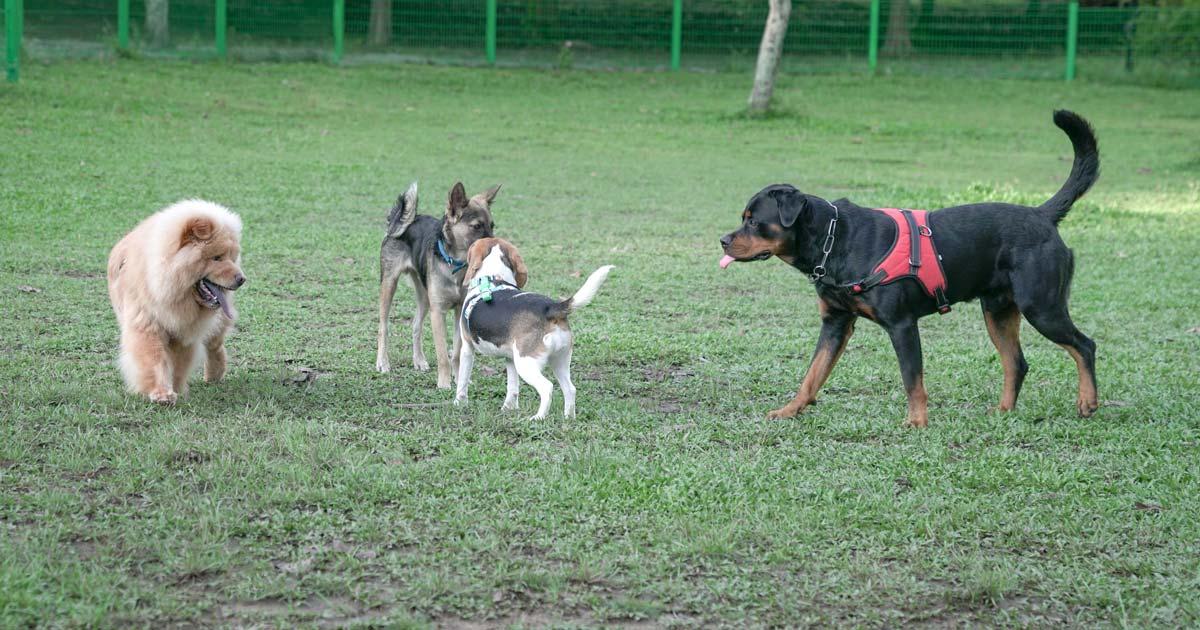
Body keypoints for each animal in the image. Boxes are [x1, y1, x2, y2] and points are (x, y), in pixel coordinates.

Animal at [374, 181, 496, 388]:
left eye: (492, 225)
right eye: (477, 226)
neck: (455, 265)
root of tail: (405, 220)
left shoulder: (459, 312)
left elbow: (456, 353)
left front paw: (459, 379)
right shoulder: (438, 312)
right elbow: (442, 355)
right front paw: (444, 384)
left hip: (424, 295)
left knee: (416, 325)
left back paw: (419, 360)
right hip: (389, 285)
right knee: (384, 327)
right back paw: (382, 362)